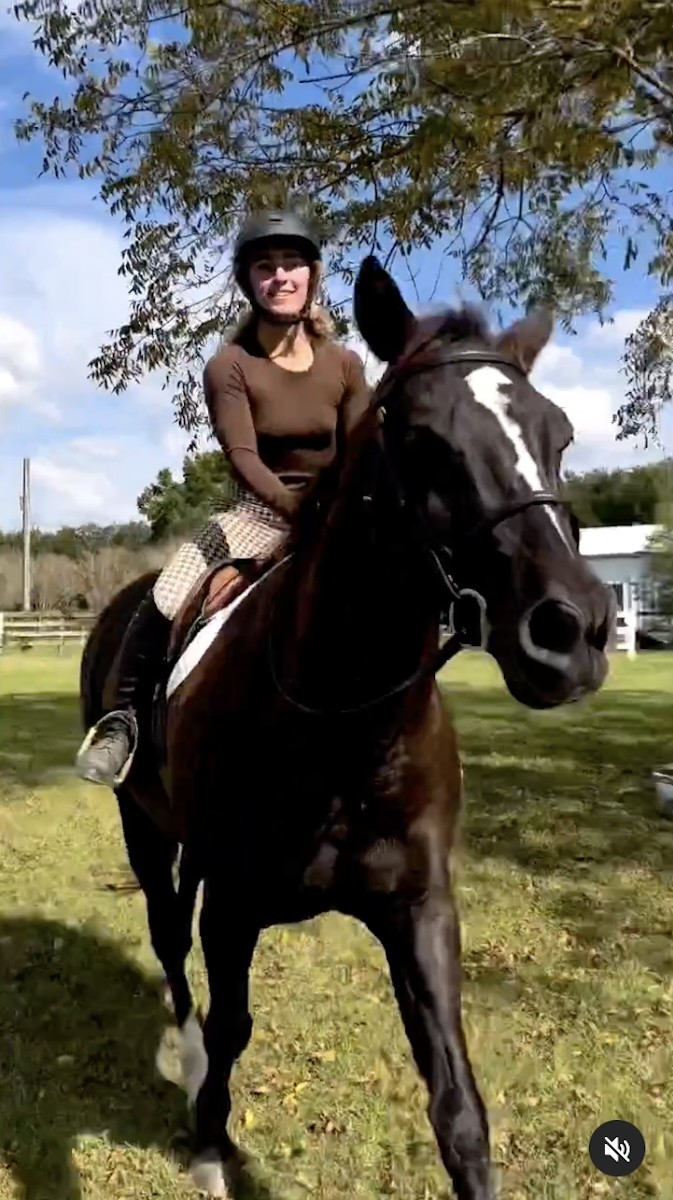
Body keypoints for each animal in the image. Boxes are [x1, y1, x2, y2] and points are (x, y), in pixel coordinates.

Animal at [78, 255, 614, 1200]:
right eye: (423, 440)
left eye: (558, 435)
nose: (573, 632)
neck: (342, 726)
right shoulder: (234, 907)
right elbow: (231, 1028)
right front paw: (209, 1146)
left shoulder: (421, 909)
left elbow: (456, 1104)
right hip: (142, 826)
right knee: (169, 944)